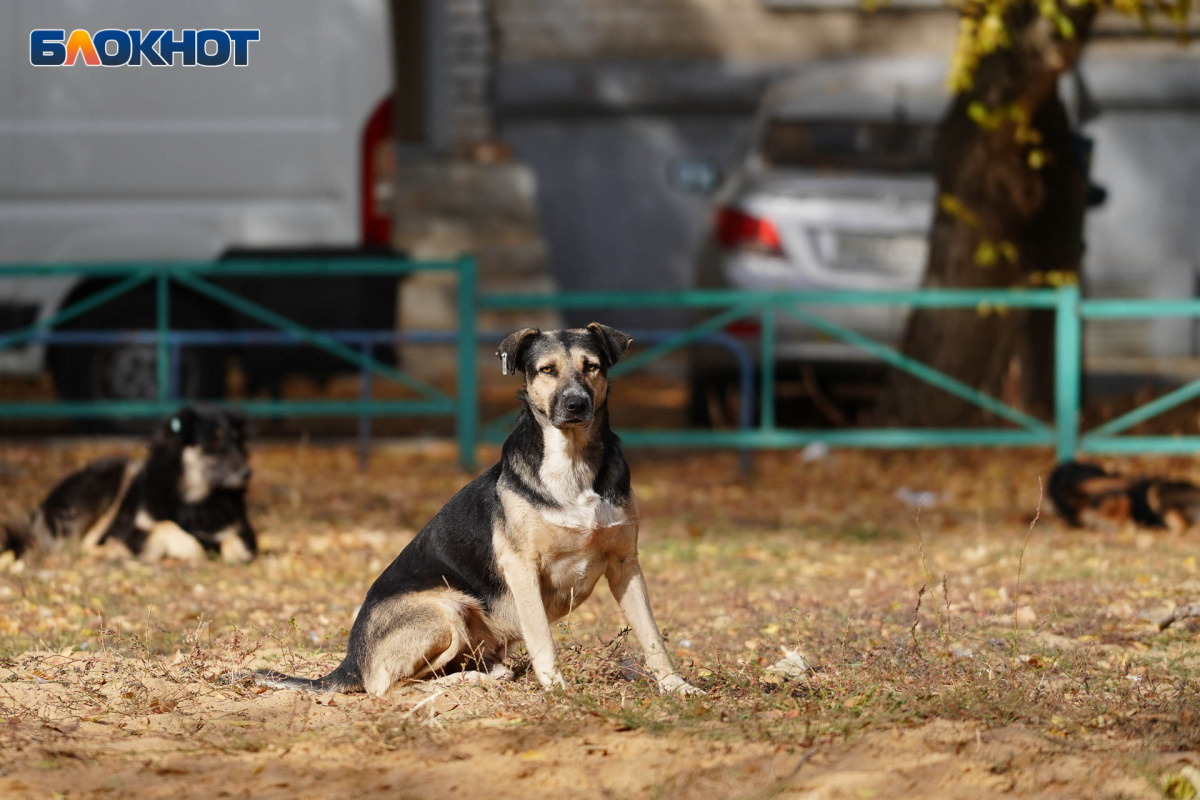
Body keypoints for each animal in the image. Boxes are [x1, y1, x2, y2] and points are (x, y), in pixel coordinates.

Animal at [2, 407, 258, 563]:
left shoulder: (244, 532)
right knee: (75, 545)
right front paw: (191, 548)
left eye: (238, 441)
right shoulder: (129, 530)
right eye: (213, 442)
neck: (194, 501)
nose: (247, 473)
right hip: (114, 477)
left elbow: (236, 546)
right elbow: (169, 529)